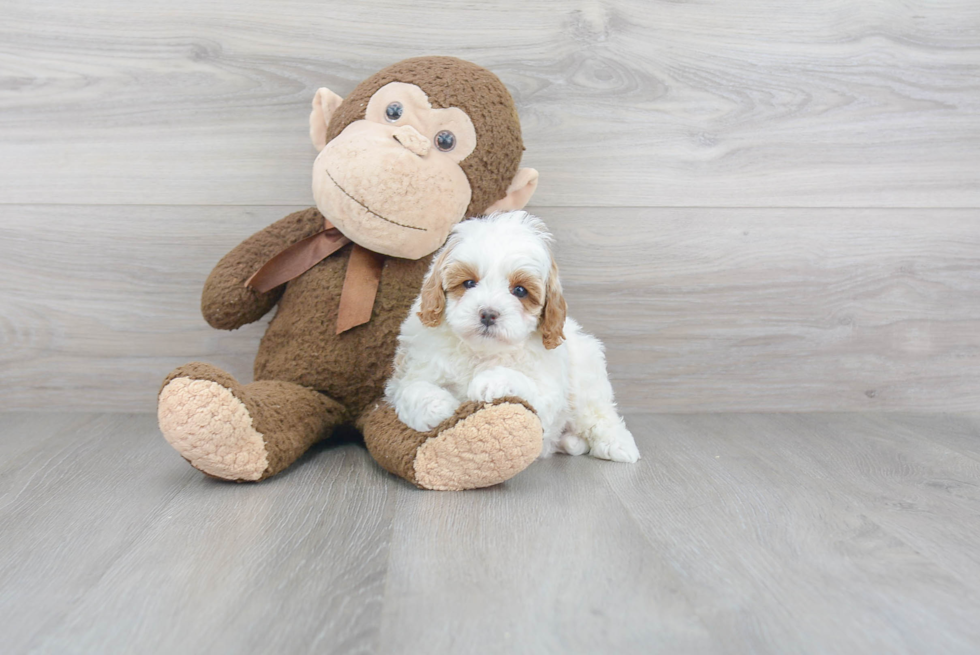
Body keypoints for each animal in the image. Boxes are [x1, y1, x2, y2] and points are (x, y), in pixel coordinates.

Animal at [382, 213, 644, 464]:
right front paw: (438, 405)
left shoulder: (549, 394)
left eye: (520, 290)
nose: (488, 314)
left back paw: (617, 445)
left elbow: (526, 385)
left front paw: (490, 381)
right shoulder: (409, 370)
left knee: (600, 414)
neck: (481, 352)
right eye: (469, 283)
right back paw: (570, 442)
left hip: (586, 377)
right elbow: (411, 389)